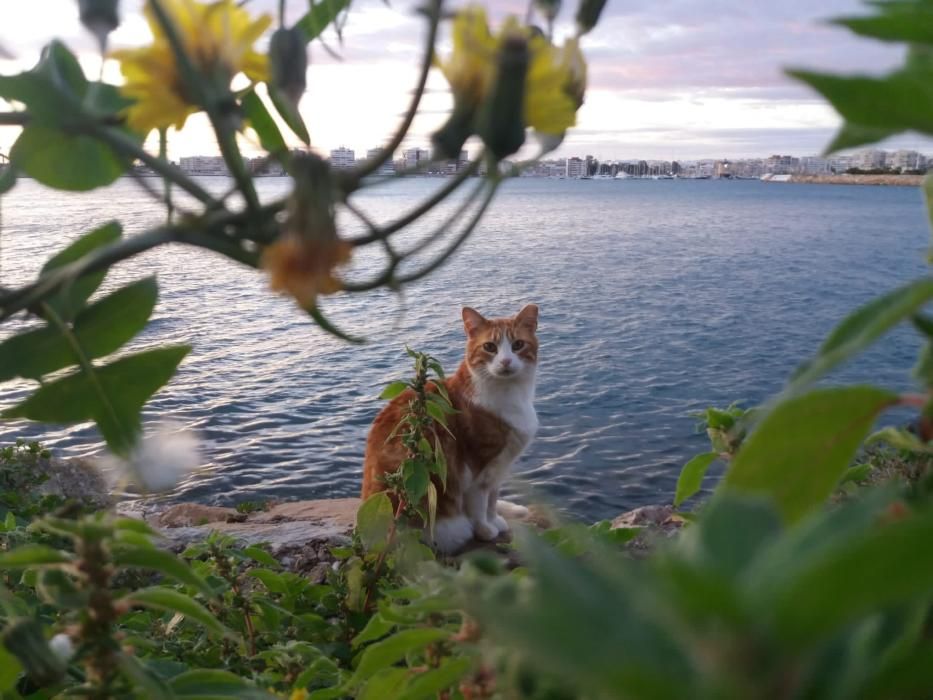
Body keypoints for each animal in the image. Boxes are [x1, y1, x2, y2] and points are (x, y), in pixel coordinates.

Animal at [364, 304, 540, 556]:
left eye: (517, 345)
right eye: (490, 347)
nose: (506, 361)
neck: (510, 394)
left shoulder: (499, 467)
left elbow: (492, 500)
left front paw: (495, 519)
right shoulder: (478, 467)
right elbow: (480, 503)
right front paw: (486, 529)